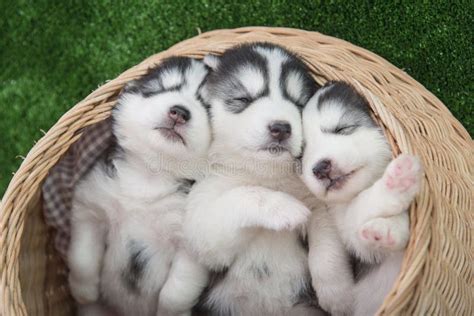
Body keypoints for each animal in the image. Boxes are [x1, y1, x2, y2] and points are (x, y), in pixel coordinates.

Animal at [67, 56, 212, 316]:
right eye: (159, 88)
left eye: (206, 105)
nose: (180, 112)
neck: (150, 176)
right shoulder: (90, 208)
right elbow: (81, 258)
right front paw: (83, 291)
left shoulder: (192, 248)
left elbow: (176, 291)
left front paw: (168, 312)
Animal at [164, 42, 326, 316]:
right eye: (243, 99)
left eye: (298, 104)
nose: (281, 128)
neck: (262, 173)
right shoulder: (203, 227)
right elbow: (240, 196)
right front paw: (283, 207)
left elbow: (328, 247)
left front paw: (337, 292)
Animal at [300, 82, 422, 316]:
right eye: (301, 154)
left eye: (342, 128)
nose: (320, 168)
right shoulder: (354, 238)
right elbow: (359, 210)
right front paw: (396, 181)